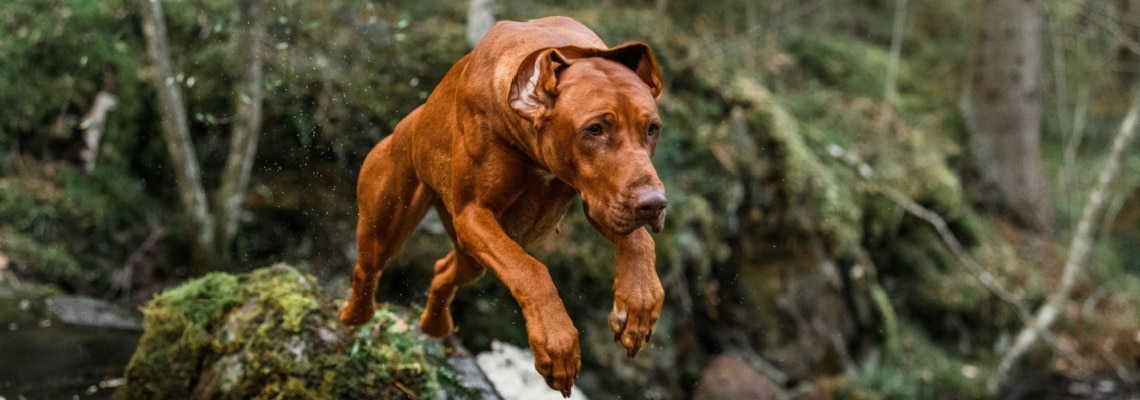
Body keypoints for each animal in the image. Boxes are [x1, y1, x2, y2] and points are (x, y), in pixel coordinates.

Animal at [337, 16, 665, 398]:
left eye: (652, 129)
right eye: (594, 128)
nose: (655, 204)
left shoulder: (600, 199)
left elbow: (640, 241)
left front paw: (639, 303)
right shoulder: (473, 215)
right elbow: (531, 272)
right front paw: (557, 343)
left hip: (472, 255)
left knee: (443, 270)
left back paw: (434, 325)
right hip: (388, 220)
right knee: (368, 269)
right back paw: (355, 316)